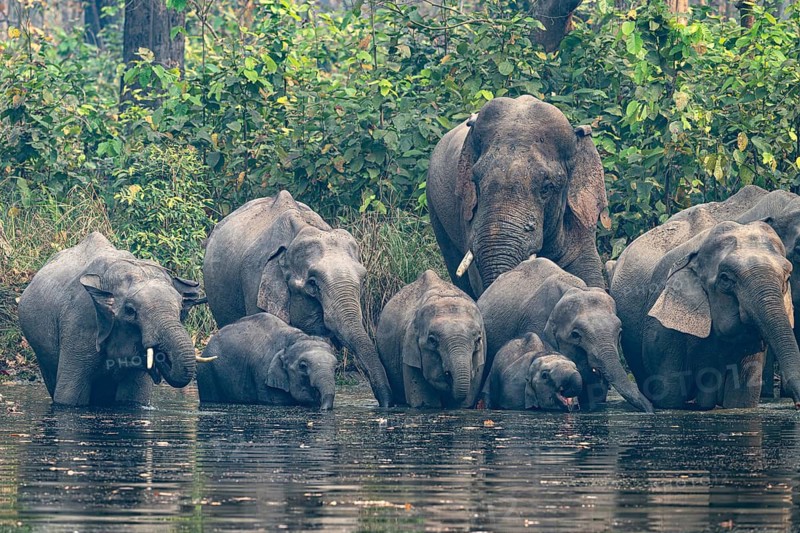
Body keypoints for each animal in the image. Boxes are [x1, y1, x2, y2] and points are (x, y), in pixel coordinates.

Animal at [17, 232, 205, 406]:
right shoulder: (80, 321)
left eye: (181, 308)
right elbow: (68, 397)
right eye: (130, 311)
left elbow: (134, 398)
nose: (159, 371)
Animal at [196, 313, 337, 409]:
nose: (322, 408)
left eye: (335, 367)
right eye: (302, 366)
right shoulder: (262, 375)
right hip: (206, 375)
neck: (294, 339)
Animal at [610, 220, 800, 409]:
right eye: (725, 278)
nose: (797, 403)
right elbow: (669, 398)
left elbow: (740, 399)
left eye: (787, 277)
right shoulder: (662, 332)